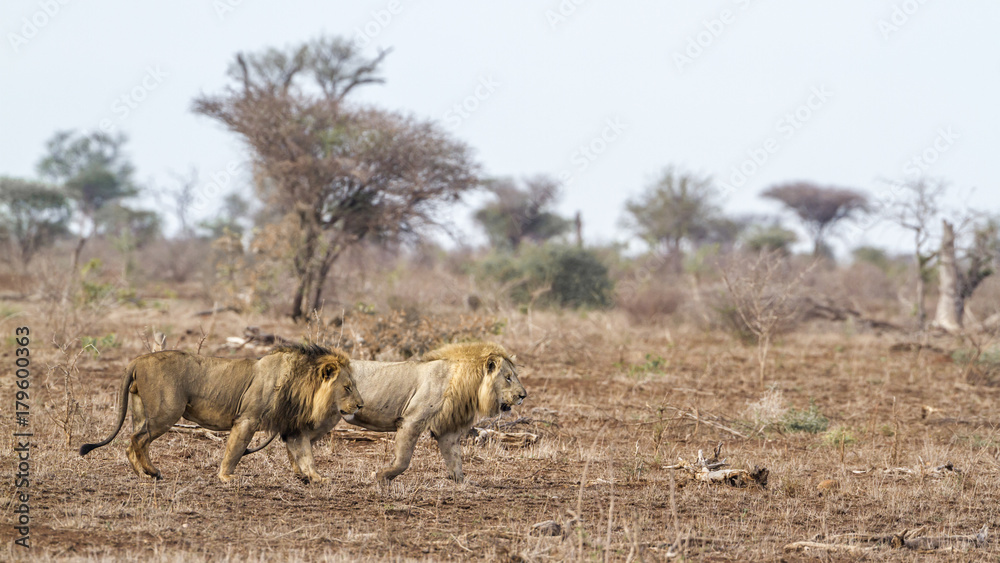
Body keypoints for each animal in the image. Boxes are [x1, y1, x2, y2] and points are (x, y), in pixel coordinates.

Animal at [79, 344, 362, 483]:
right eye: (347, 387)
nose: (360, 405)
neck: (301, 385)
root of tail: (136, 360)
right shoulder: (247, 419)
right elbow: (235, 450)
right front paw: (226, 477)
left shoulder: (292, 428)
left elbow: (306, 455)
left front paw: (315, 478)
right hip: (167, 412)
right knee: (138, 440)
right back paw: (151, 473)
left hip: (141, 411)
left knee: (132, 442)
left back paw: (144, 475)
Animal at [249, 342, 526, 484]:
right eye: (508, 377)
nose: (523, 395)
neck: (466, 382)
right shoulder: (412, 420)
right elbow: (403, 460)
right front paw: (382, 476)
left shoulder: (447, 431)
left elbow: (456, 460)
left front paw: (463, 483)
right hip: (325, 417)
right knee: (295, 436)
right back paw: (308, 474)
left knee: (293, 438)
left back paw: (301, 474)